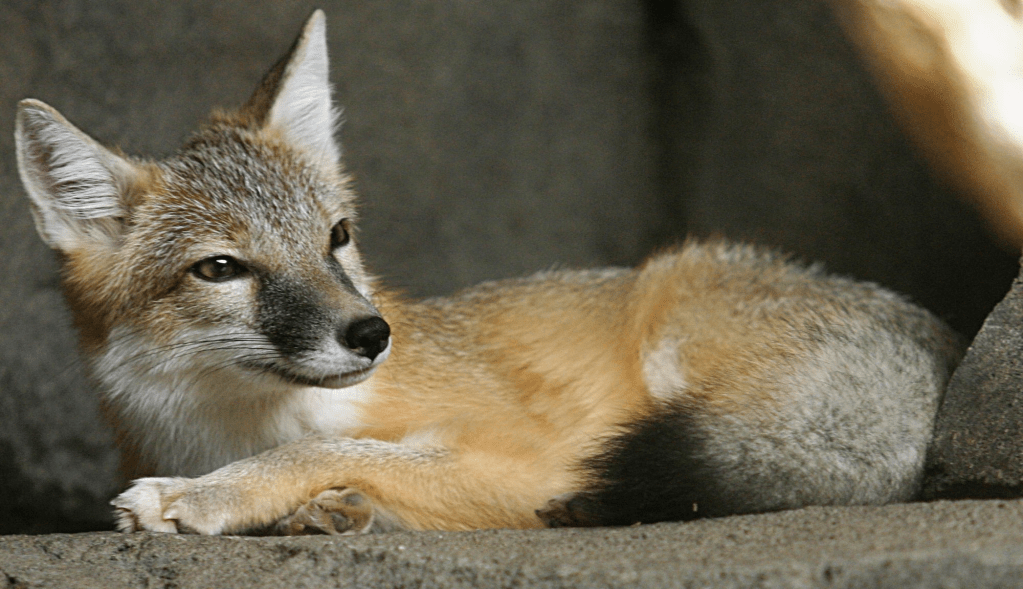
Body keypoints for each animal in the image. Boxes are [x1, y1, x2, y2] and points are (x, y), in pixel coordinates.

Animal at [14, 10, 963, 535]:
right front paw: (327, 504)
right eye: (222, 267)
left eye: (336, 236)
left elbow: (330, 446)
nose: (372, 333)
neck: (232, 427)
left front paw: (211, 496)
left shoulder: (527, 453)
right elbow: (348, 457)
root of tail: (940, 339)